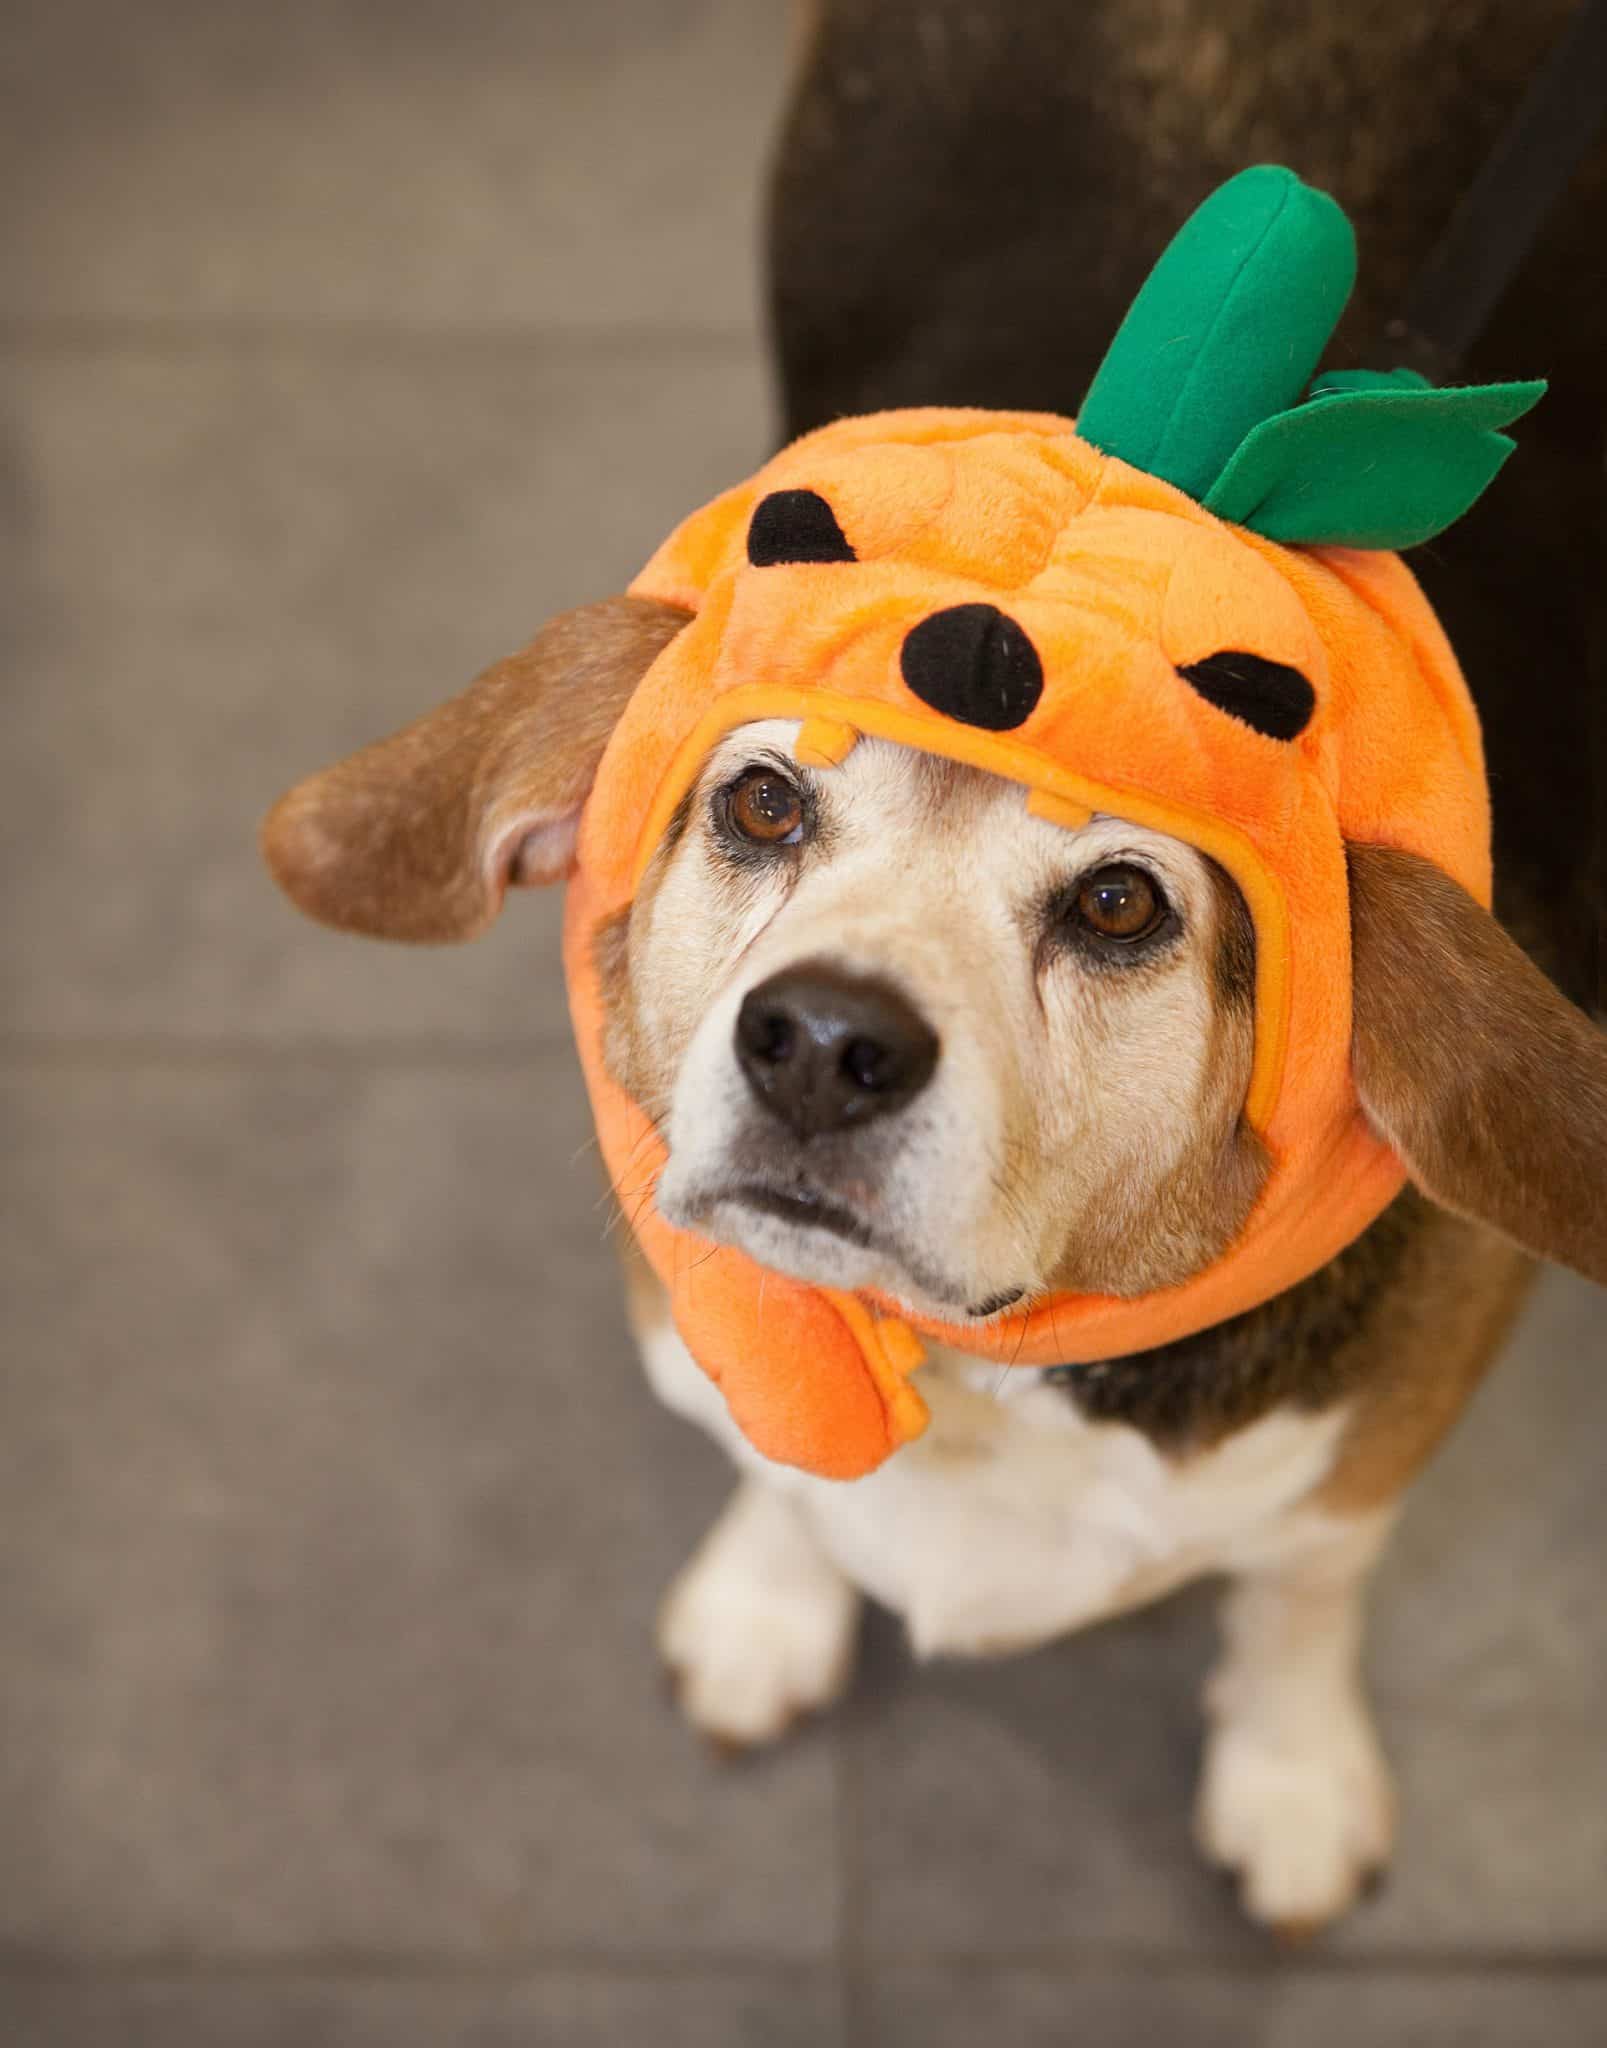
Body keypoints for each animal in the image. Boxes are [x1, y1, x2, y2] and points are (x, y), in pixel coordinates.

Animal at [256, 0, 1596, 1933]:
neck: (967, 1373)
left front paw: (1287, 1770)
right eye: (758, 801)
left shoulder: (1365, 1459)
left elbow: (1296, 1593)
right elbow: (780, 1461)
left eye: (1118, 906)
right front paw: (767, 1599)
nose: (818, 1043)